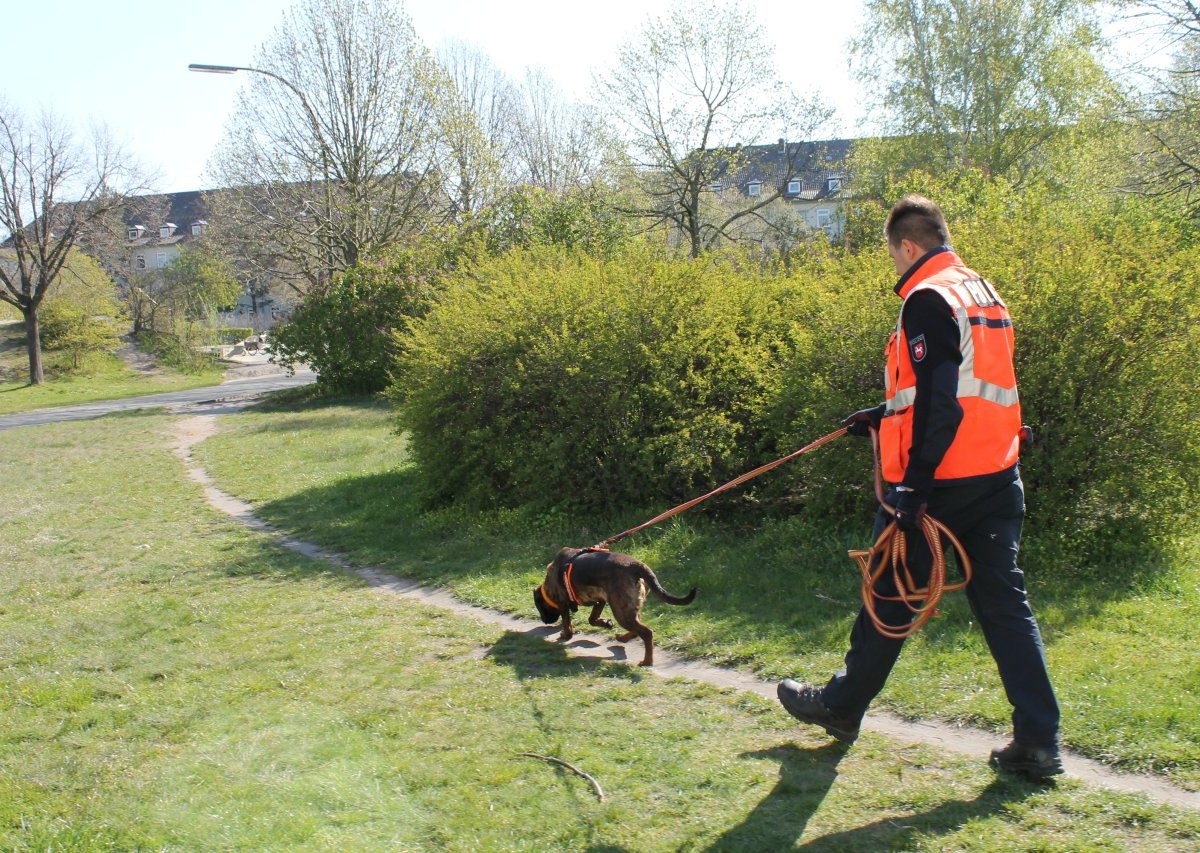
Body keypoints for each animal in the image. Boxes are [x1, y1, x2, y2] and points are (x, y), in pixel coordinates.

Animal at [532, 547, 700, 667]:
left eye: (540, 607)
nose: (544, 621)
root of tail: (635, 566)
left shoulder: (563, 602)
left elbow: (567, 622)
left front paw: (566, 635)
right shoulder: (600, 601)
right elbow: (592, 619)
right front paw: (606, 623)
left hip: (621, 611)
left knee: (646, 632)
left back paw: (647, 661)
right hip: (627, 607)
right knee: (637, 628)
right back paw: (624, 638)